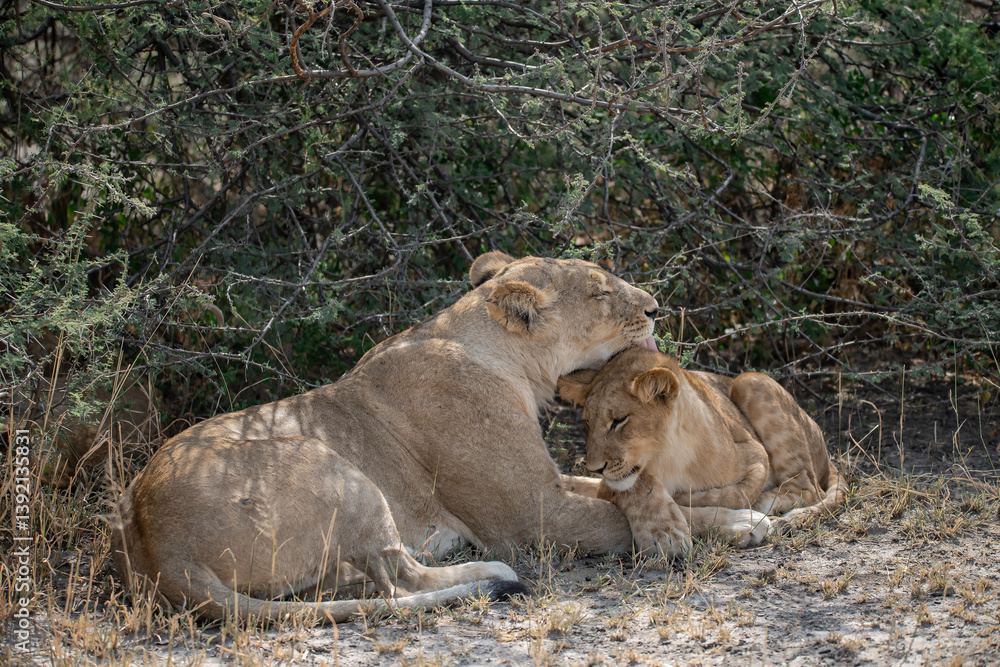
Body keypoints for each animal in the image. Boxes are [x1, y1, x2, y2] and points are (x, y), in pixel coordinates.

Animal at [112, 252, 672, 623]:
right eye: (601, 292)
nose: (656, 307)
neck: (498, 355)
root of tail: (161, 548)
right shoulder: (533, 513)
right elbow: (612, 521)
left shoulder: (552, 482)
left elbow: (619, 490)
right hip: (330, 465)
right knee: (404, 578)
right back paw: (493, 572)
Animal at [558, 347, 847, 557]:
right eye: (587, 423)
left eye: (619, 420)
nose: (594, 467)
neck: (667, 456)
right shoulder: (609, 486)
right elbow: (640, 487)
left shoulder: (754, 453)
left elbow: (738, 493)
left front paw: (688, 498)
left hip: (752, 381)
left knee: (809, 488)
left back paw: (768, 504)